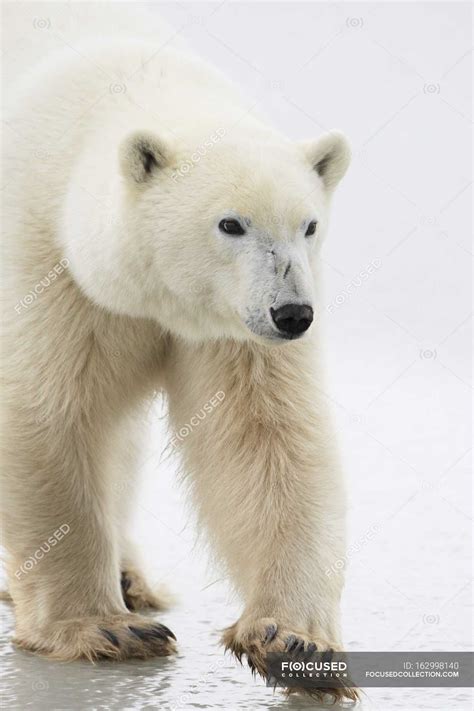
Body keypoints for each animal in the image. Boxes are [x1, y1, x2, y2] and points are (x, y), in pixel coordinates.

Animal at [1, 5, 354, 708]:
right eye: (231, 223)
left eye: (309, 225)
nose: (293, 314)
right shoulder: (48, 260)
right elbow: (49, 416)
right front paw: (105, 628)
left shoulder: (233, 334)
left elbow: (267, 440)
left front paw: (295, 642)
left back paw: (132, 575)